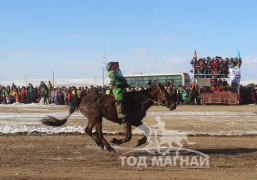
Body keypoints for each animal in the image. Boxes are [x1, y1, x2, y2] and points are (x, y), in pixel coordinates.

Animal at [40, 83, 176, 153]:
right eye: (165, 93)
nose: (174, 104)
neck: (138, 101)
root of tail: (81, 98)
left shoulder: (136, 120)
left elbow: (148, 130)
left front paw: (139, 142)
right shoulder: (127, 121)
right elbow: (128, 136)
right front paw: (116, 140)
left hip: (97, 118)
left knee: (94, 132)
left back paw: (102, 145)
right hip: (95, 117)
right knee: (92, 131)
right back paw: (108, 146)